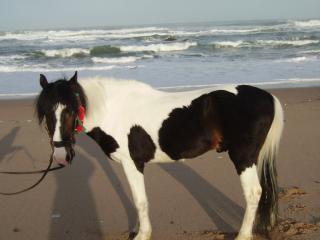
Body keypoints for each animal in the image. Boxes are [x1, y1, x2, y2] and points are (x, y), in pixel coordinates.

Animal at [35, 71, 282, 240]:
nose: (60, 155)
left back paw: (242, 235)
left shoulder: (132, 163)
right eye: (46, 113)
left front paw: (142, 234)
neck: (113, 109)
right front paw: (136, 229)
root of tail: (268, 97)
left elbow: (140, 200)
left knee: (253, 193)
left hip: (243, 157)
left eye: (71, 111)